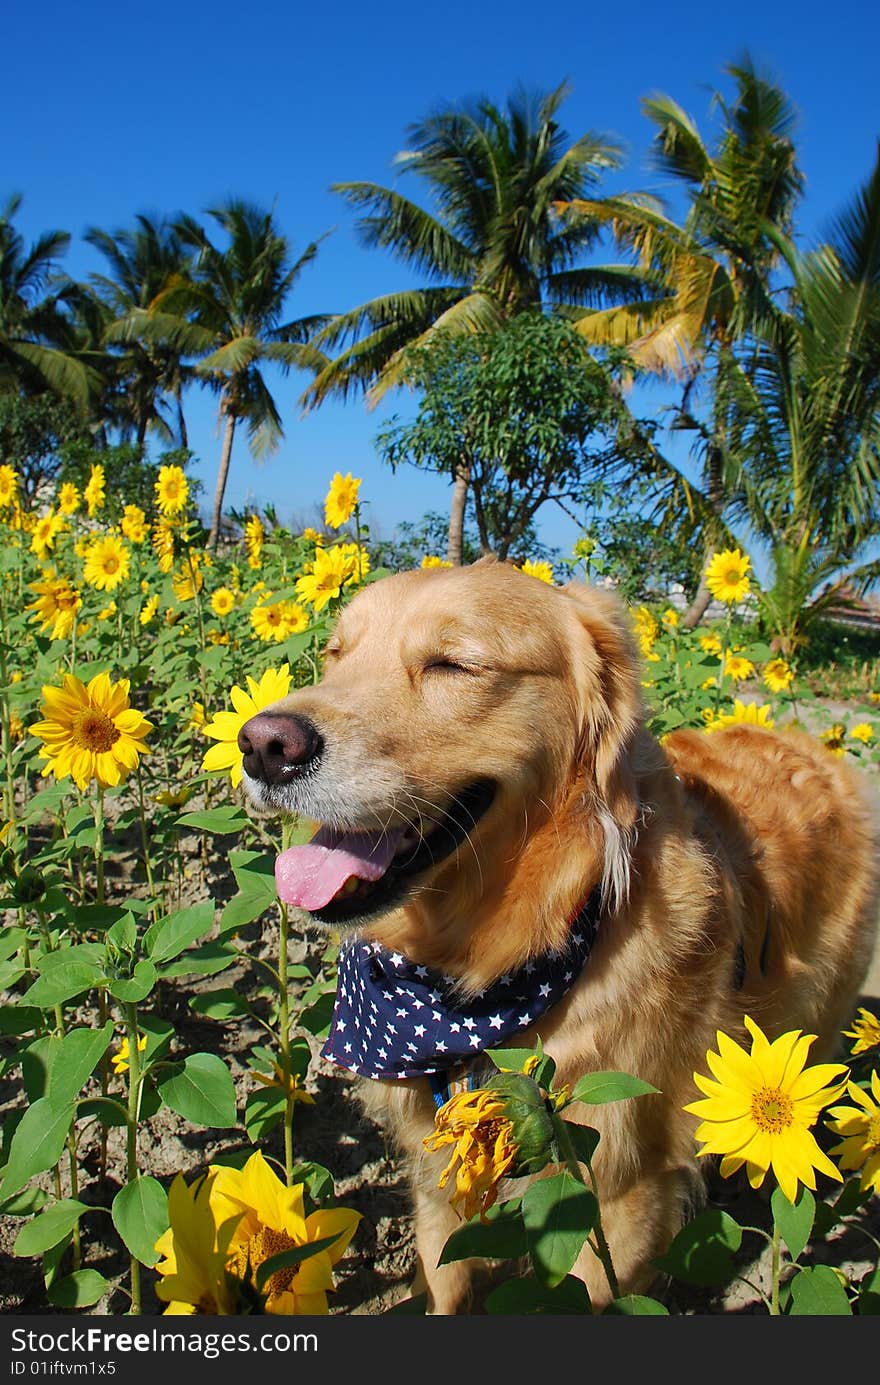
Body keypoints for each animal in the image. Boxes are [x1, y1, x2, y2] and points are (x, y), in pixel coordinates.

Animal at [234, 559, 880, 1307]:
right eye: (337, 654)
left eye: (454, 663)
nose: (263, 745)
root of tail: (810, 742)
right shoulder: (439, 1166)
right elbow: (445, 1277)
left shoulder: (622, 1188)